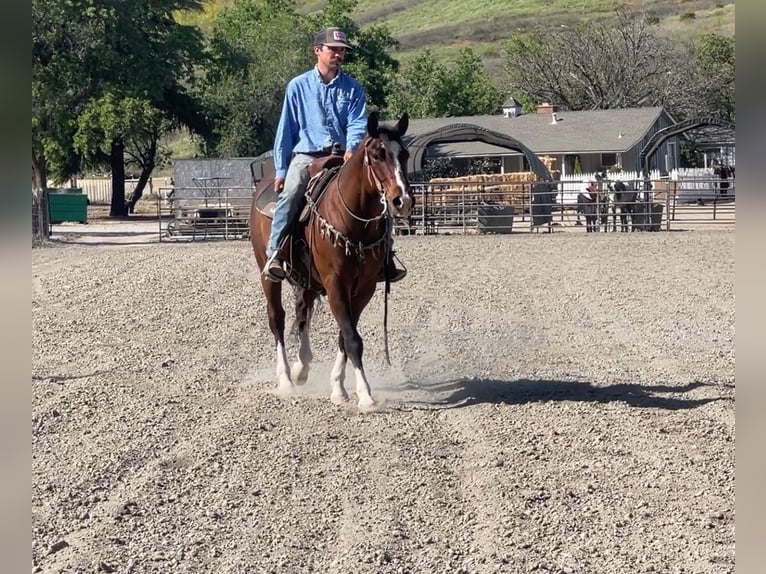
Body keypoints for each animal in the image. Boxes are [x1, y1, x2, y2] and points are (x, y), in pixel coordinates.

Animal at [250, 112, 414, 414]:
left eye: (405, 154)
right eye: (377, 154)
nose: (403, 201)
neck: (355, 223)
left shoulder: (363, 289)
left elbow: (345, 335)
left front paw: (338, 387)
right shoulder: (335, 283)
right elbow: (352, 339)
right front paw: (366, 395)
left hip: (307, 280)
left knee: (302, 311)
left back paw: (302, 367)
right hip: (267, 274)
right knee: (277, 319)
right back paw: (286, 379)